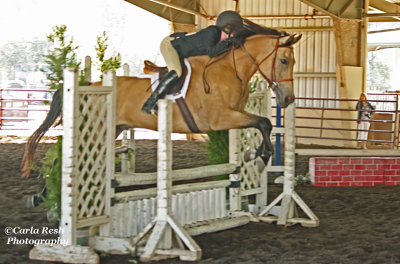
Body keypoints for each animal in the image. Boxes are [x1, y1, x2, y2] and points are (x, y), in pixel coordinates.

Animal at [19, 23, 300, 179]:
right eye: (284, 60)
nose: (288, 99)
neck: (230, 69)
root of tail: (89, 87)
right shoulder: (220, 118)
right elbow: (263, 122)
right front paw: (261, 157)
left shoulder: (236, 114)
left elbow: (263, 124)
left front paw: (255, 154)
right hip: (95, 129)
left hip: (112, 129)